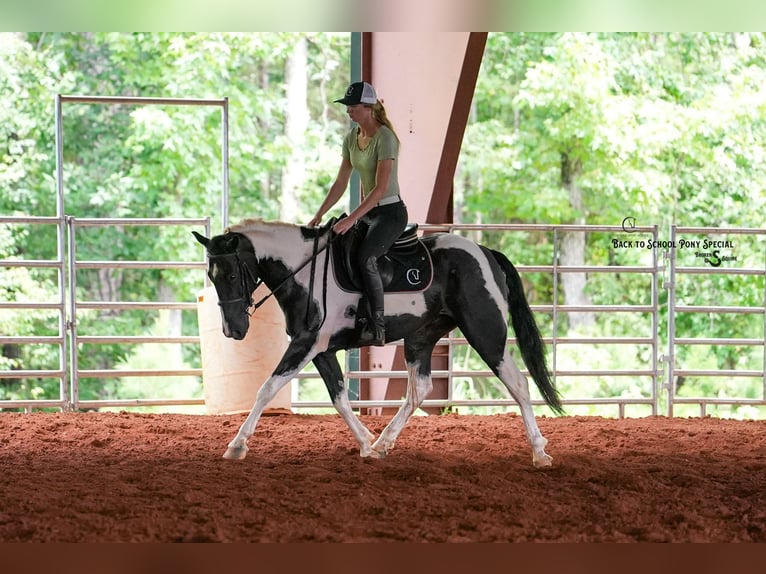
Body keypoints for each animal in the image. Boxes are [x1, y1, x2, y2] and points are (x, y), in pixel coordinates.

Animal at [193, 218, 564, 467]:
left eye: (230, 274)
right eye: (211, 275)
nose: (233, 330)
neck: (304, 272)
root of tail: (485, 253)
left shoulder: (305, 344)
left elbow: (266, 389)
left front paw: (237, 445)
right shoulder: (322, 350)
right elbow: (340, 399)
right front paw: (367, 444)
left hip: (486, 332)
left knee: (517, 383)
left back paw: (540, 452)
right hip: (420, 338)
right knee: (419, 390)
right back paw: (385, 442)